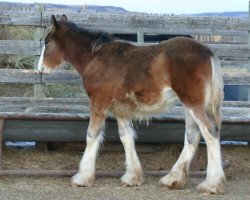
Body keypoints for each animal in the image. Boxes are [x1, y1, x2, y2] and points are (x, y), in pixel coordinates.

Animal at [38, 14, 226, 195]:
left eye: (47, 42)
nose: (40, 69)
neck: (95, 57)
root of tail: (208, 52)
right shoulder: (120, 109)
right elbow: (126, 137)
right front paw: (132, 177)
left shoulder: (99, 101)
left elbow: (92, 135)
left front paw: (82, 178)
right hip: (189, 104)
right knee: (192, 135)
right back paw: (173, 179)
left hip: (193, 103)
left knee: (210, 132)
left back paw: (211, 184)